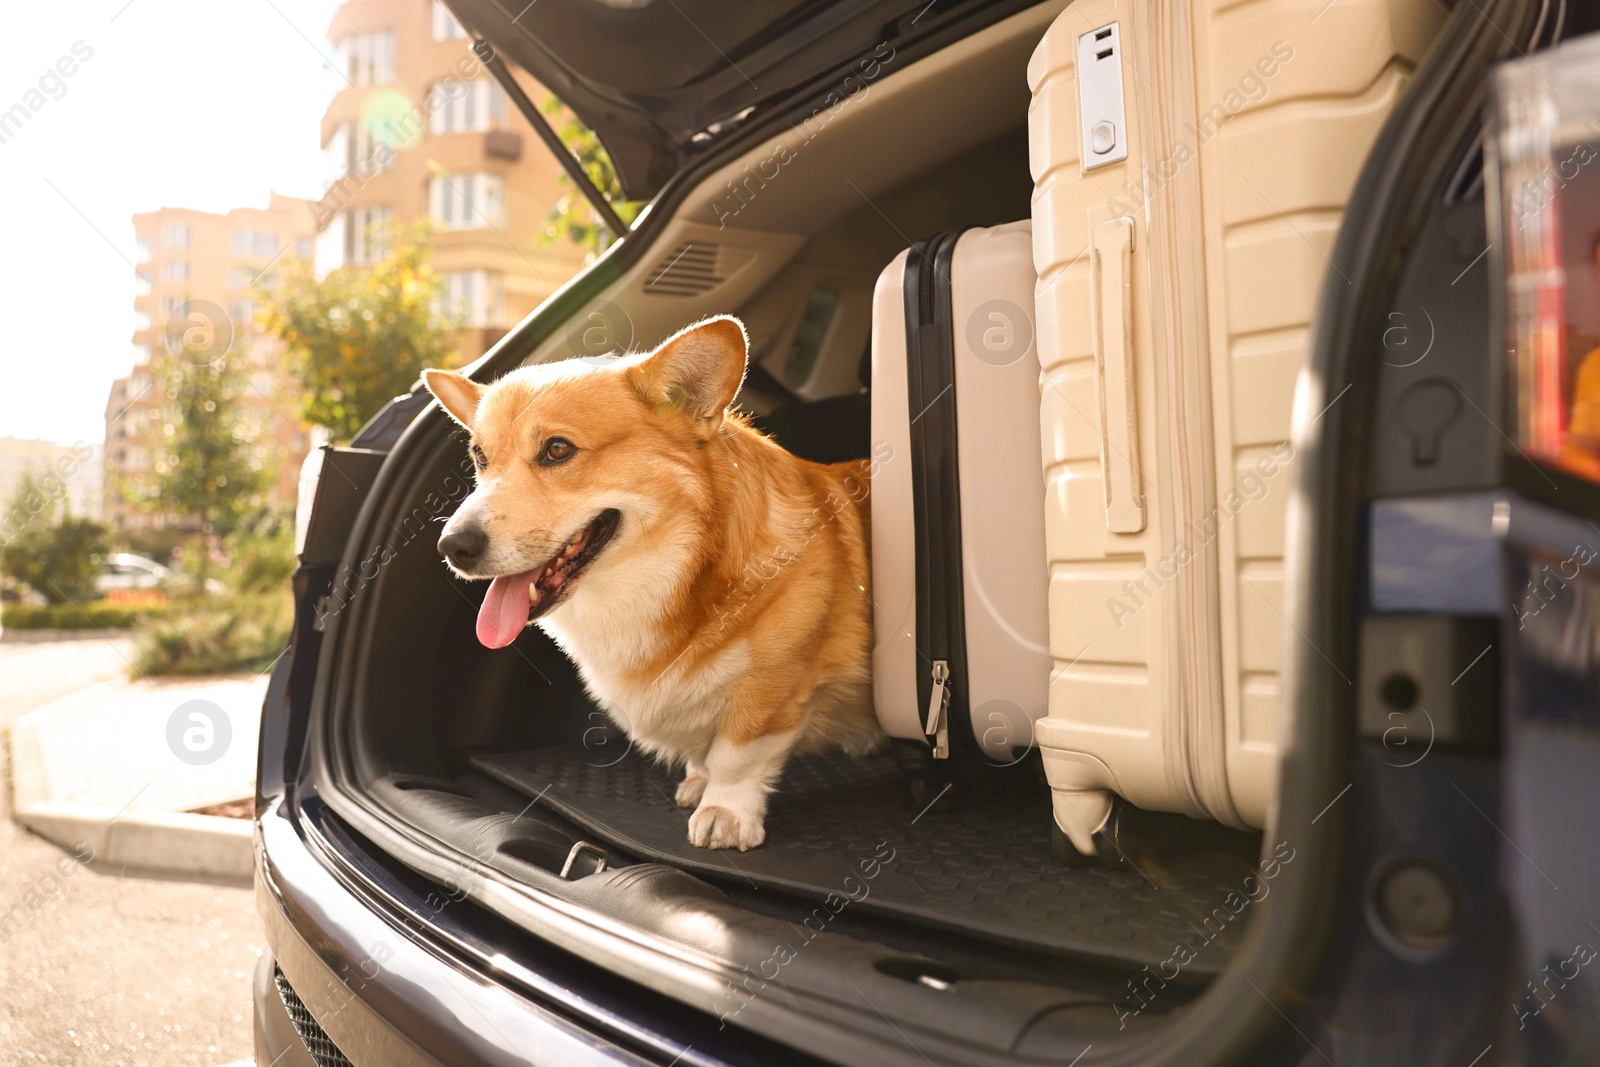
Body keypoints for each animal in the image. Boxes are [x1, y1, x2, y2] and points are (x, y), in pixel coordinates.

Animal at [425, 315, 883, 851]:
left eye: (557, 449)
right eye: (480, 456)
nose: (452, 547)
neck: (673, 570)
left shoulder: (773, 689)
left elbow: (736, 756)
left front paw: (724, 813)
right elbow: (705, 754)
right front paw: (699, 783)